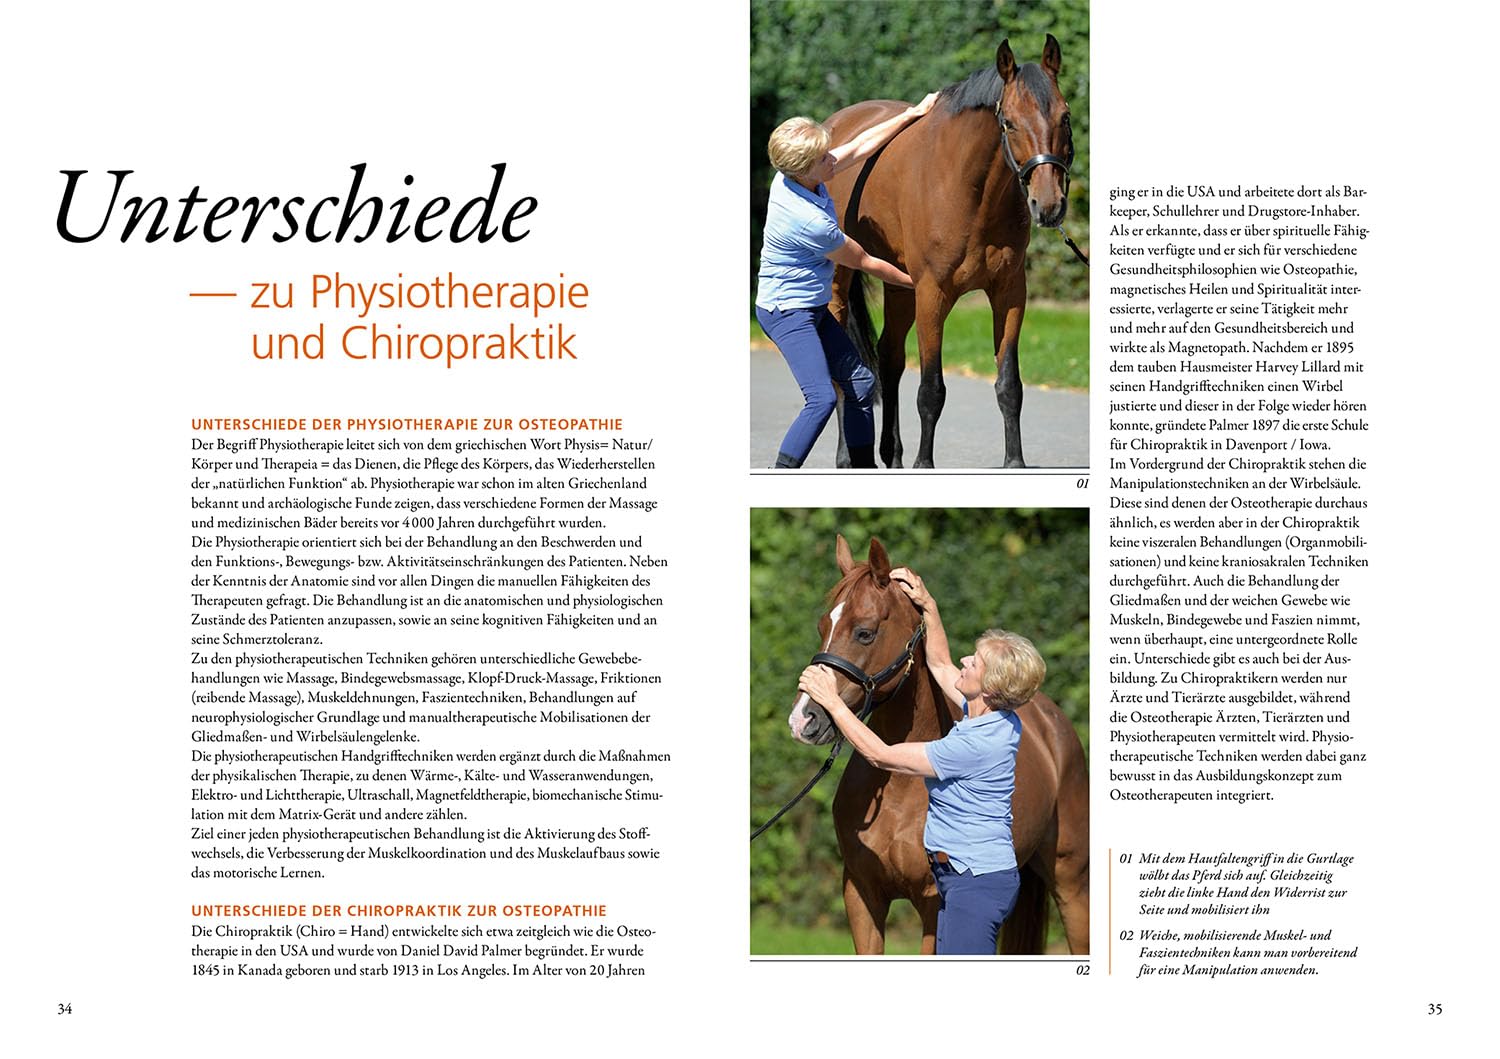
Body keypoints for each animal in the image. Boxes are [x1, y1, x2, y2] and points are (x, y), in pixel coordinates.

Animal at [786, 535, 1089, 954]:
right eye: (822, 626)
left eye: (865, 632)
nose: (804, 719)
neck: (900, 792)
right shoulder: (861, 894)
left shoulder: (935, 901)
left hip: (1071, 882)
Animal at [825, 37, 1078, 468]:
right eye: (1009, 122)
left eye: (1064, 116)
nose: (1048, 206)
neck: (969, 190)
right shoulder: (933, 294)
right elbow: (931, 390)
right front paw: (924, 465)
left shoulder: (1010, 293)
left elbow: (1009, 385)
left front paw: (1014, 463)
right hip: (842, 282)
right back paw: (847, 459)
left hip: (899, 286)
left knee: (889, 358)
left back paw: (891, 455)